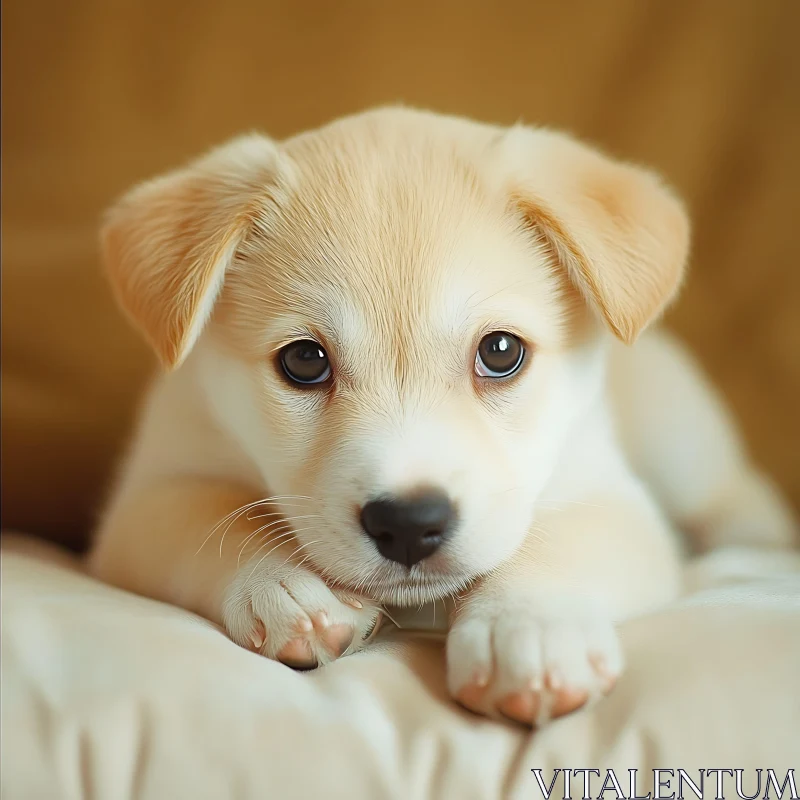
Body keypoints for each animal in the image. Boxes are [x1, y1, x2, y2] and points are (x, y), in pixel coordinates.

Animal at [89, 109, 792, 728]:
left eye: (501, 351)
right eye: (303, 361)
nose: (407, 524)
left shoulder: (609, 496)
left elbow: (554, 541)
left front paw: (527, 628)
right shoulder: (144, 501)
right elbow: (210, 521)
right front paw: (286, 587)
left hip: (680, 440)